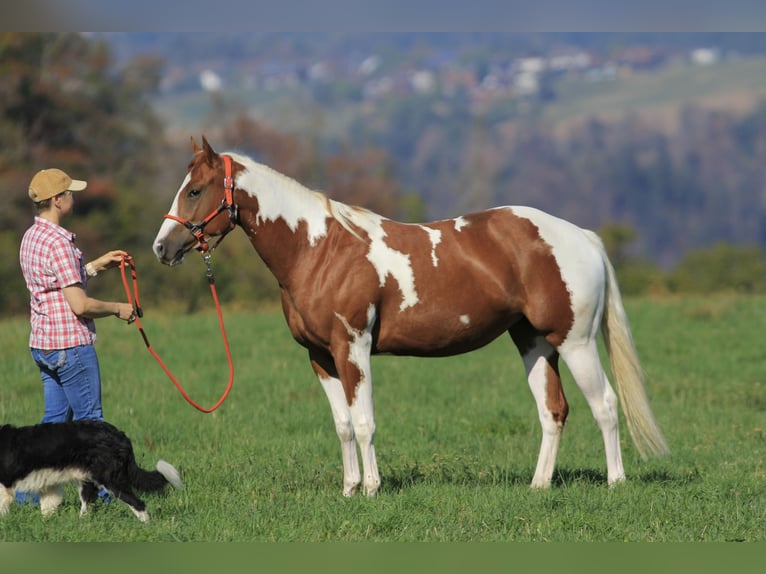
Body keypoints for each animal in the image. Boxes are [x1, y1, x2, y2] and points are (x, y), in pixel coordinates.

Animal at [152, 136, 669, 496]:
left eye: (194, 190)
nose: (161, 248)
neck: (319, 251)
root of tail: (581, 236)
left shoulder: (353, 348)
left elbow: (364, 422)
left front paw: (371, 488)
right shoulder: (320, 357)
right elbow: (343, 425)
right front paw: (349, 488)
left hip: (575, 341)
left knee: (605, 406)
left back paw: (616, 482)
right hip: (534, 342)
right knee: (553, 411)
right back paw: (539, 486)